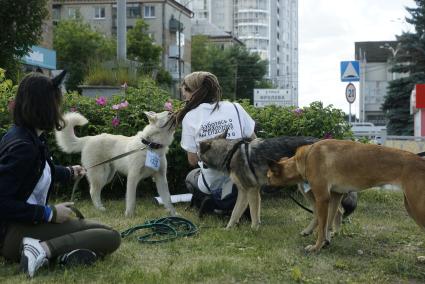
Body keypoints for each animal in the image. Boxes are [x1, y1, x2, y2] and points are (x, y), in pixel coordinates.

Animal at [197, 134, 356, 230]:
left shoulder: (252, 191)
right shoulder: (244, 193)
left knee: (336, 212)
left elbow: (253, 215)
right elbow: (235, 214)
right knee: (332, 212)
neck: (230, 153)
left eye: (198, 153)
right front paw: (228, 230)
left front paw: (254, 230)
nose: (197, 164)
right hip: (307, 190)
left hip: (310, 191)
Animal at [266, 140, 424, 253]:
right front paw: (326, 242)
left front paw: (316, 247)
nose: (262, 188)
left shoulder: (322, 198)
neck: (306, 157)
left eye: (268, 177)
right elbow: (328, 224)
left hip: (416, 208)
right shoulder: (335, 197)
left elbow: (322, 227)